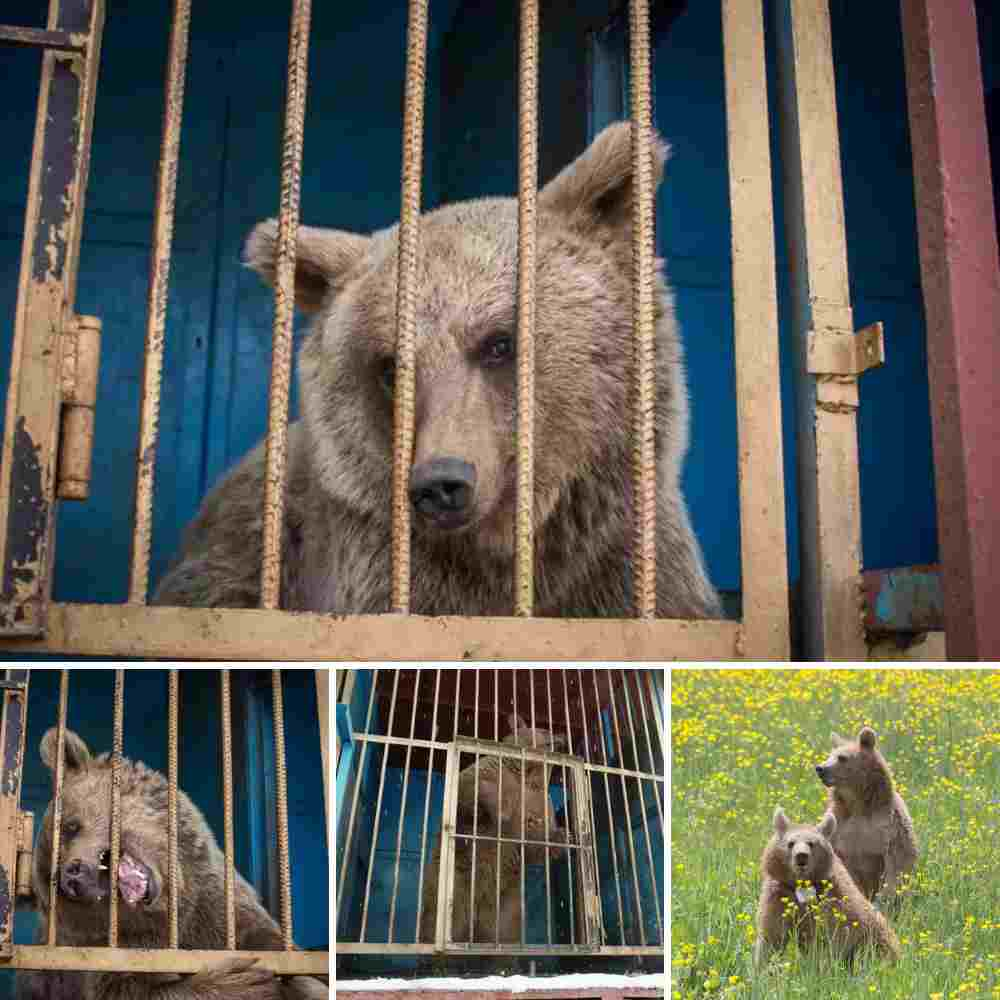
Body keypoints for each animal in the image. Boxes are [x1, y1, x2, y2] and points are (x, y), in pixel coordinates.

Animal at [16, 728, 328, 1000]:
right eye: (53, 881)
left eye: (70, 826)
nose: (72, 876)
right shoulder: (113, 955)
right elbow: (136, 990)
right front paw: (244, 981)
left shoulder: (218, 903)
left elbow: (277, 949)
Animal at [416, 712, 572, 944]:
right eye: (545, 729)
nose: (563, 735)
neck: (527, 774)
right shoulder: (488, 773)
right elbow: (469, 794)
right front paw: (500, 809)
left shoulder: (540, 803)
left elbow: (534, 845)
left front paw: (561, 836)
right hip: (449, 889)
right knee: (434, 921)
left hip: (507, 907)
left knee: (505, 935)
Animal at [752, 812, 904, 968]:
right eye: (791, 843)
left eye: (811, 843)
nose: (801, 857)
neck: (801, 884)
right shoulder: (779, 895)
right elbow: (771, 935)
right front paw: (762, 967)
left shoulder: (832, 900)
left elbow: (830, 938)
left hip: (875, 937)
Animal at [816, 728, 916, 908]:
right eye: (830, 755)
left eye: (842, 757)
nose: (820, 768)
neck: (859, 806)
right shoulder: (840, 826)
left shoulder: (889, 828)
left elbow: (896, 864)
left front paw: (884, 900)